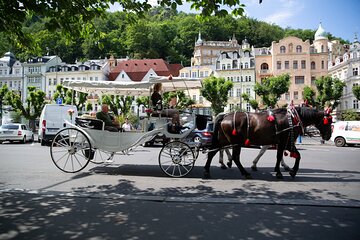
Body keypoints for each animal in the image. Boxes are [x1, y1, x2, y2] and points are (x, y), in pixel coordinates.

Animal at [204, 106, 334, 178]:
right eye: (328, 121)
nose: (328, 136)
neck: (292, 118)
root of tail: (225, 116)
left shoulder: (284, 142)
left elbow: (294, 155)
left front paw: (290, 170)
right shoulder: (284, 142)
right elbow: (281, 156)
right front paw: (281, 172)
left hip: (222, 139)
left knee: (213, 152)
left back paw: (209, 170)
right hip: (236, 142)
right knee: (234, 156)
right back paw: (243, 172)